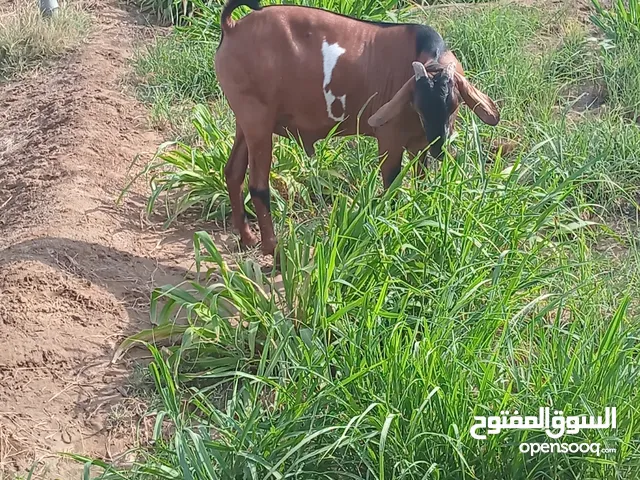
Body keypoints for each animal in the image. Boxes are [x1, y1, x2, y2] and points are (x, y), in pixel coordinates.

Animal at [215, 0, 500, 255]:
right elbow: (391, 184)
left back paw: (248, 238)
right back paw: (273, 251)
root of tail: (232, 27)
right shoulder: (389, 139)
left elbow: (421, 180)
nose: (439, 147)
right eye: (418, 106)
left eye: (455, 105)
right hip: (258, 120)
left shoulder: (419, 144)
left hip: (246, 121)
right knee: (257, 186)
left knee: (232, 172)